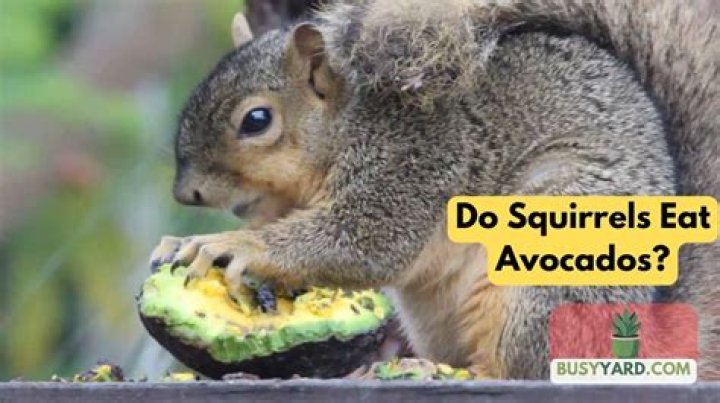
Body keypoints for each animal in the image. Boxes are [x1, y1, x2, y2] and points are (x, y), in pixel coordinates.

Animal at [150, 0, 719, 379]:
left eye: (256, 120)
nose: (186, 194)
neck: (349, 123)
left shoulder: (417, 161)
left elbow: (365, 242)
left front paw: (232, 246)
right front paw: (179, 243)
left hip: (553, 266)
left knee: (524, 370)